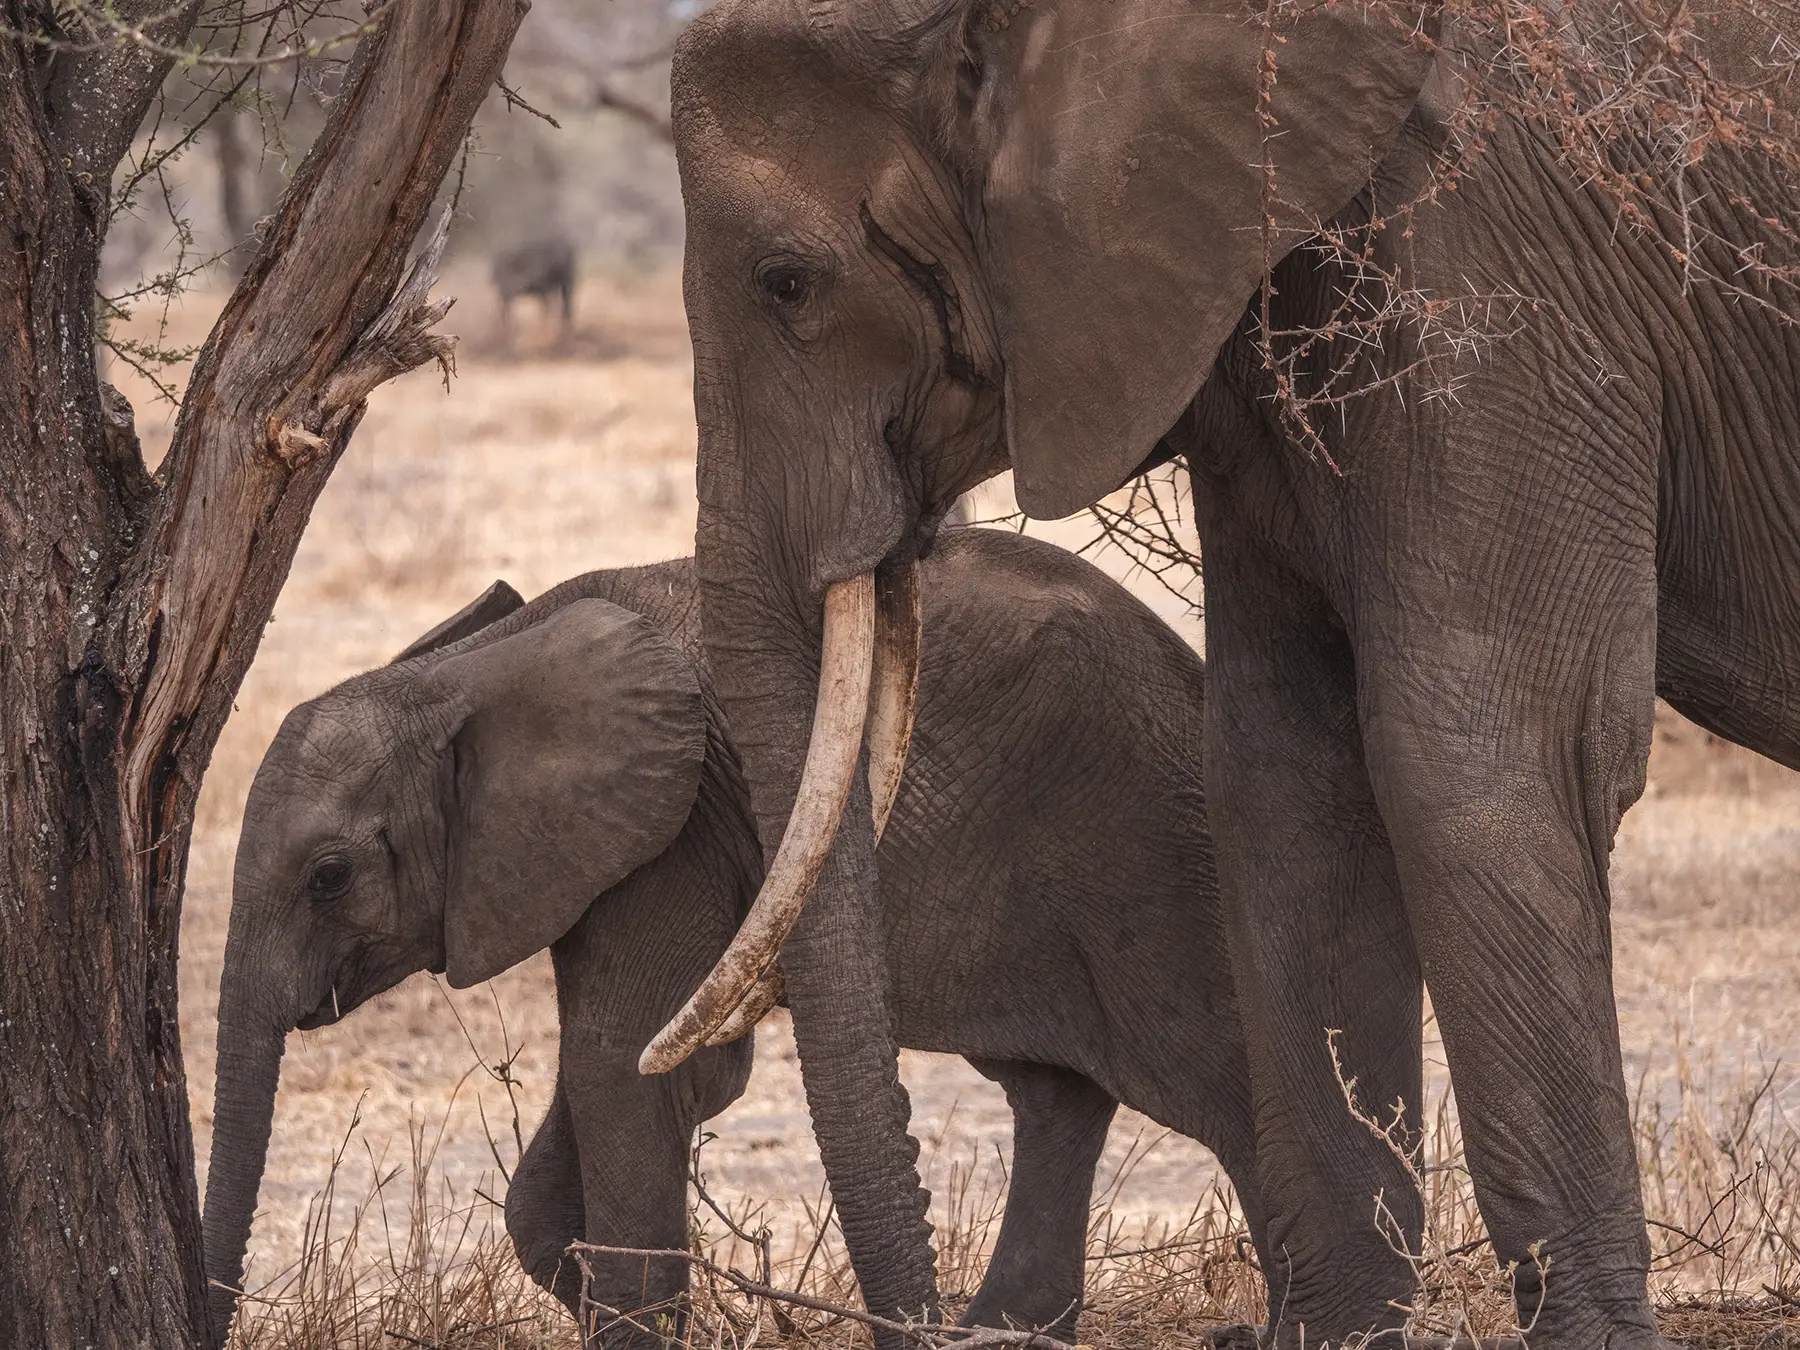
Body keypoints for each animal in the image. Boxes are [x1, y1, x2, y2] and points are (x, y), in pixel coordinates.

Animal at [200, 527, 1266, 1347]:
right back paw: (1005, 1332)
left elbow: (617, 1068)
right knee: (1054, 1094)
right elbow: (596, 1107)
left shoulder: (675, 837)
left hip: (1144, 845)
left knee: (1222, 1088)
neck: (464, 673)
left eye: (329, 876)